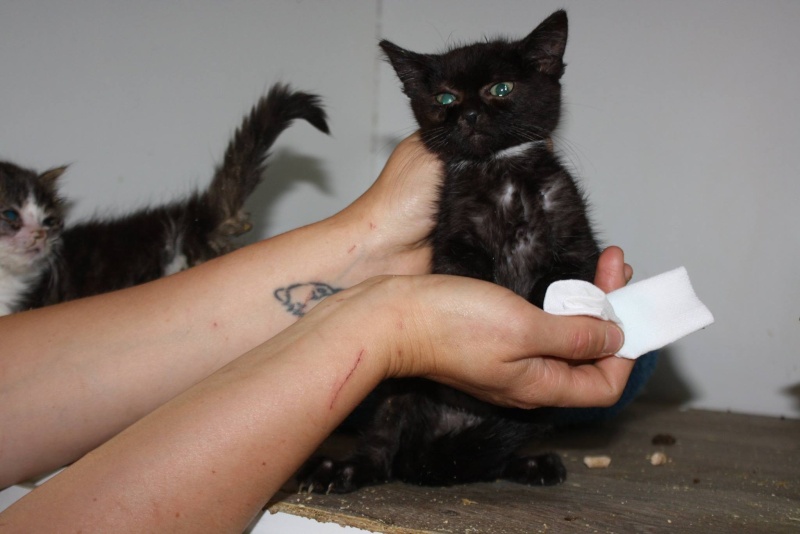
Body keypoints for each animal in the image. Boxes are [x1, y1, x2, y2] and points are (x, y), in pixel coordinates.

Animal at [300, 10, 600, 494]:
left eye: (501, 88)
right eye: (445, 97)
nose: (470, 114)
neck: (502, 172)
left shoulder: (574, 234)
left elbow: (557, 281)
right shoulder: (453, 233)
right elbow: (467, 273)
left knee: (488, 461)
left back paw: (531, 464)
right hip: (398, 389)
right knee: (384, 444)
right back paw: (344, 470)